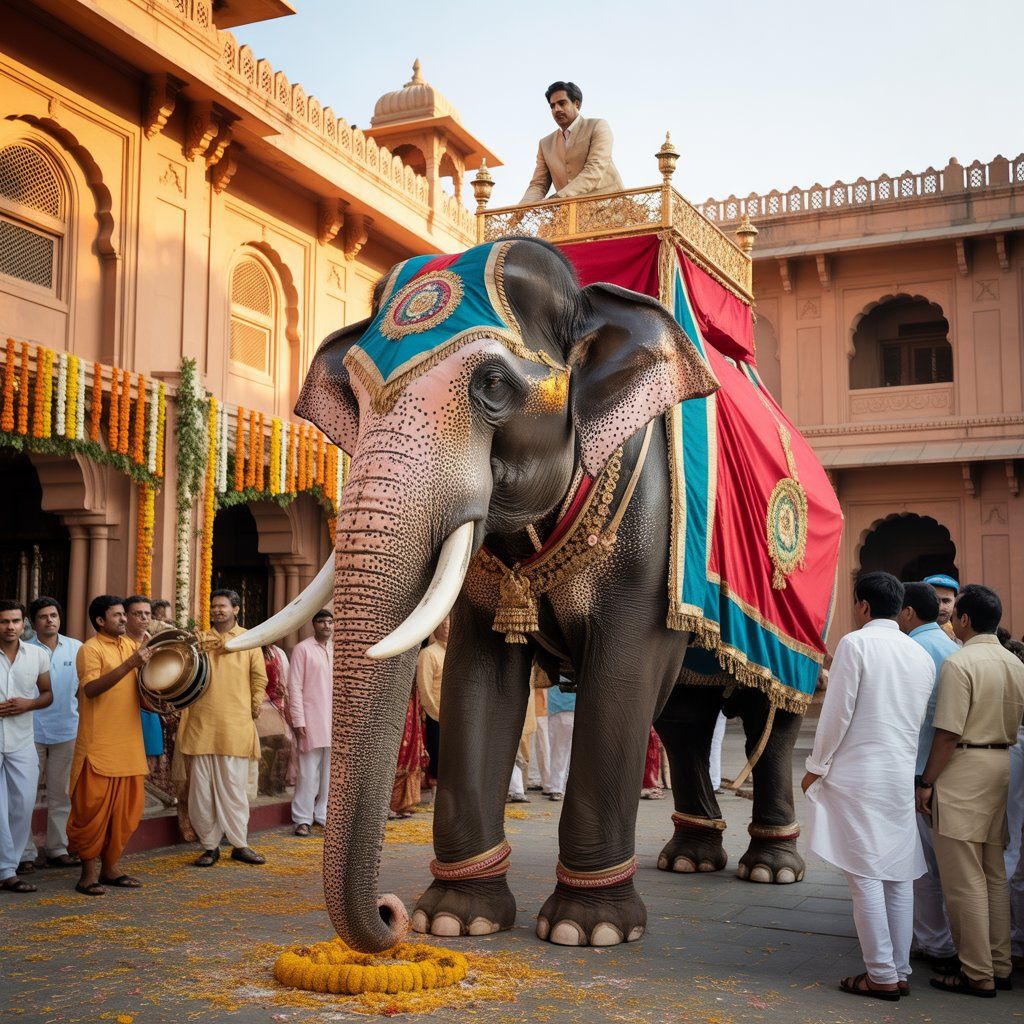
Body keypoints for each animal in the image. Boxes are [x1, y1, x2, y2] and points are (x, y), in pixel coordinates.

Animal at [232, 236, 821, 953]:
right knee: (684, 717)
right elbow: (479, 680)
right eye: (356, 397)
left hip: (802, 626)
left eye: (492, 385)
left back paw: (771, 868)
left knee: (776, 717)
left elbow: (625, 677)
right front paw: (457, 919)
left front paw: (586, 930)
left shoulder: (649, 528)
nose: (390, 914)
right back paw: (689, 858)